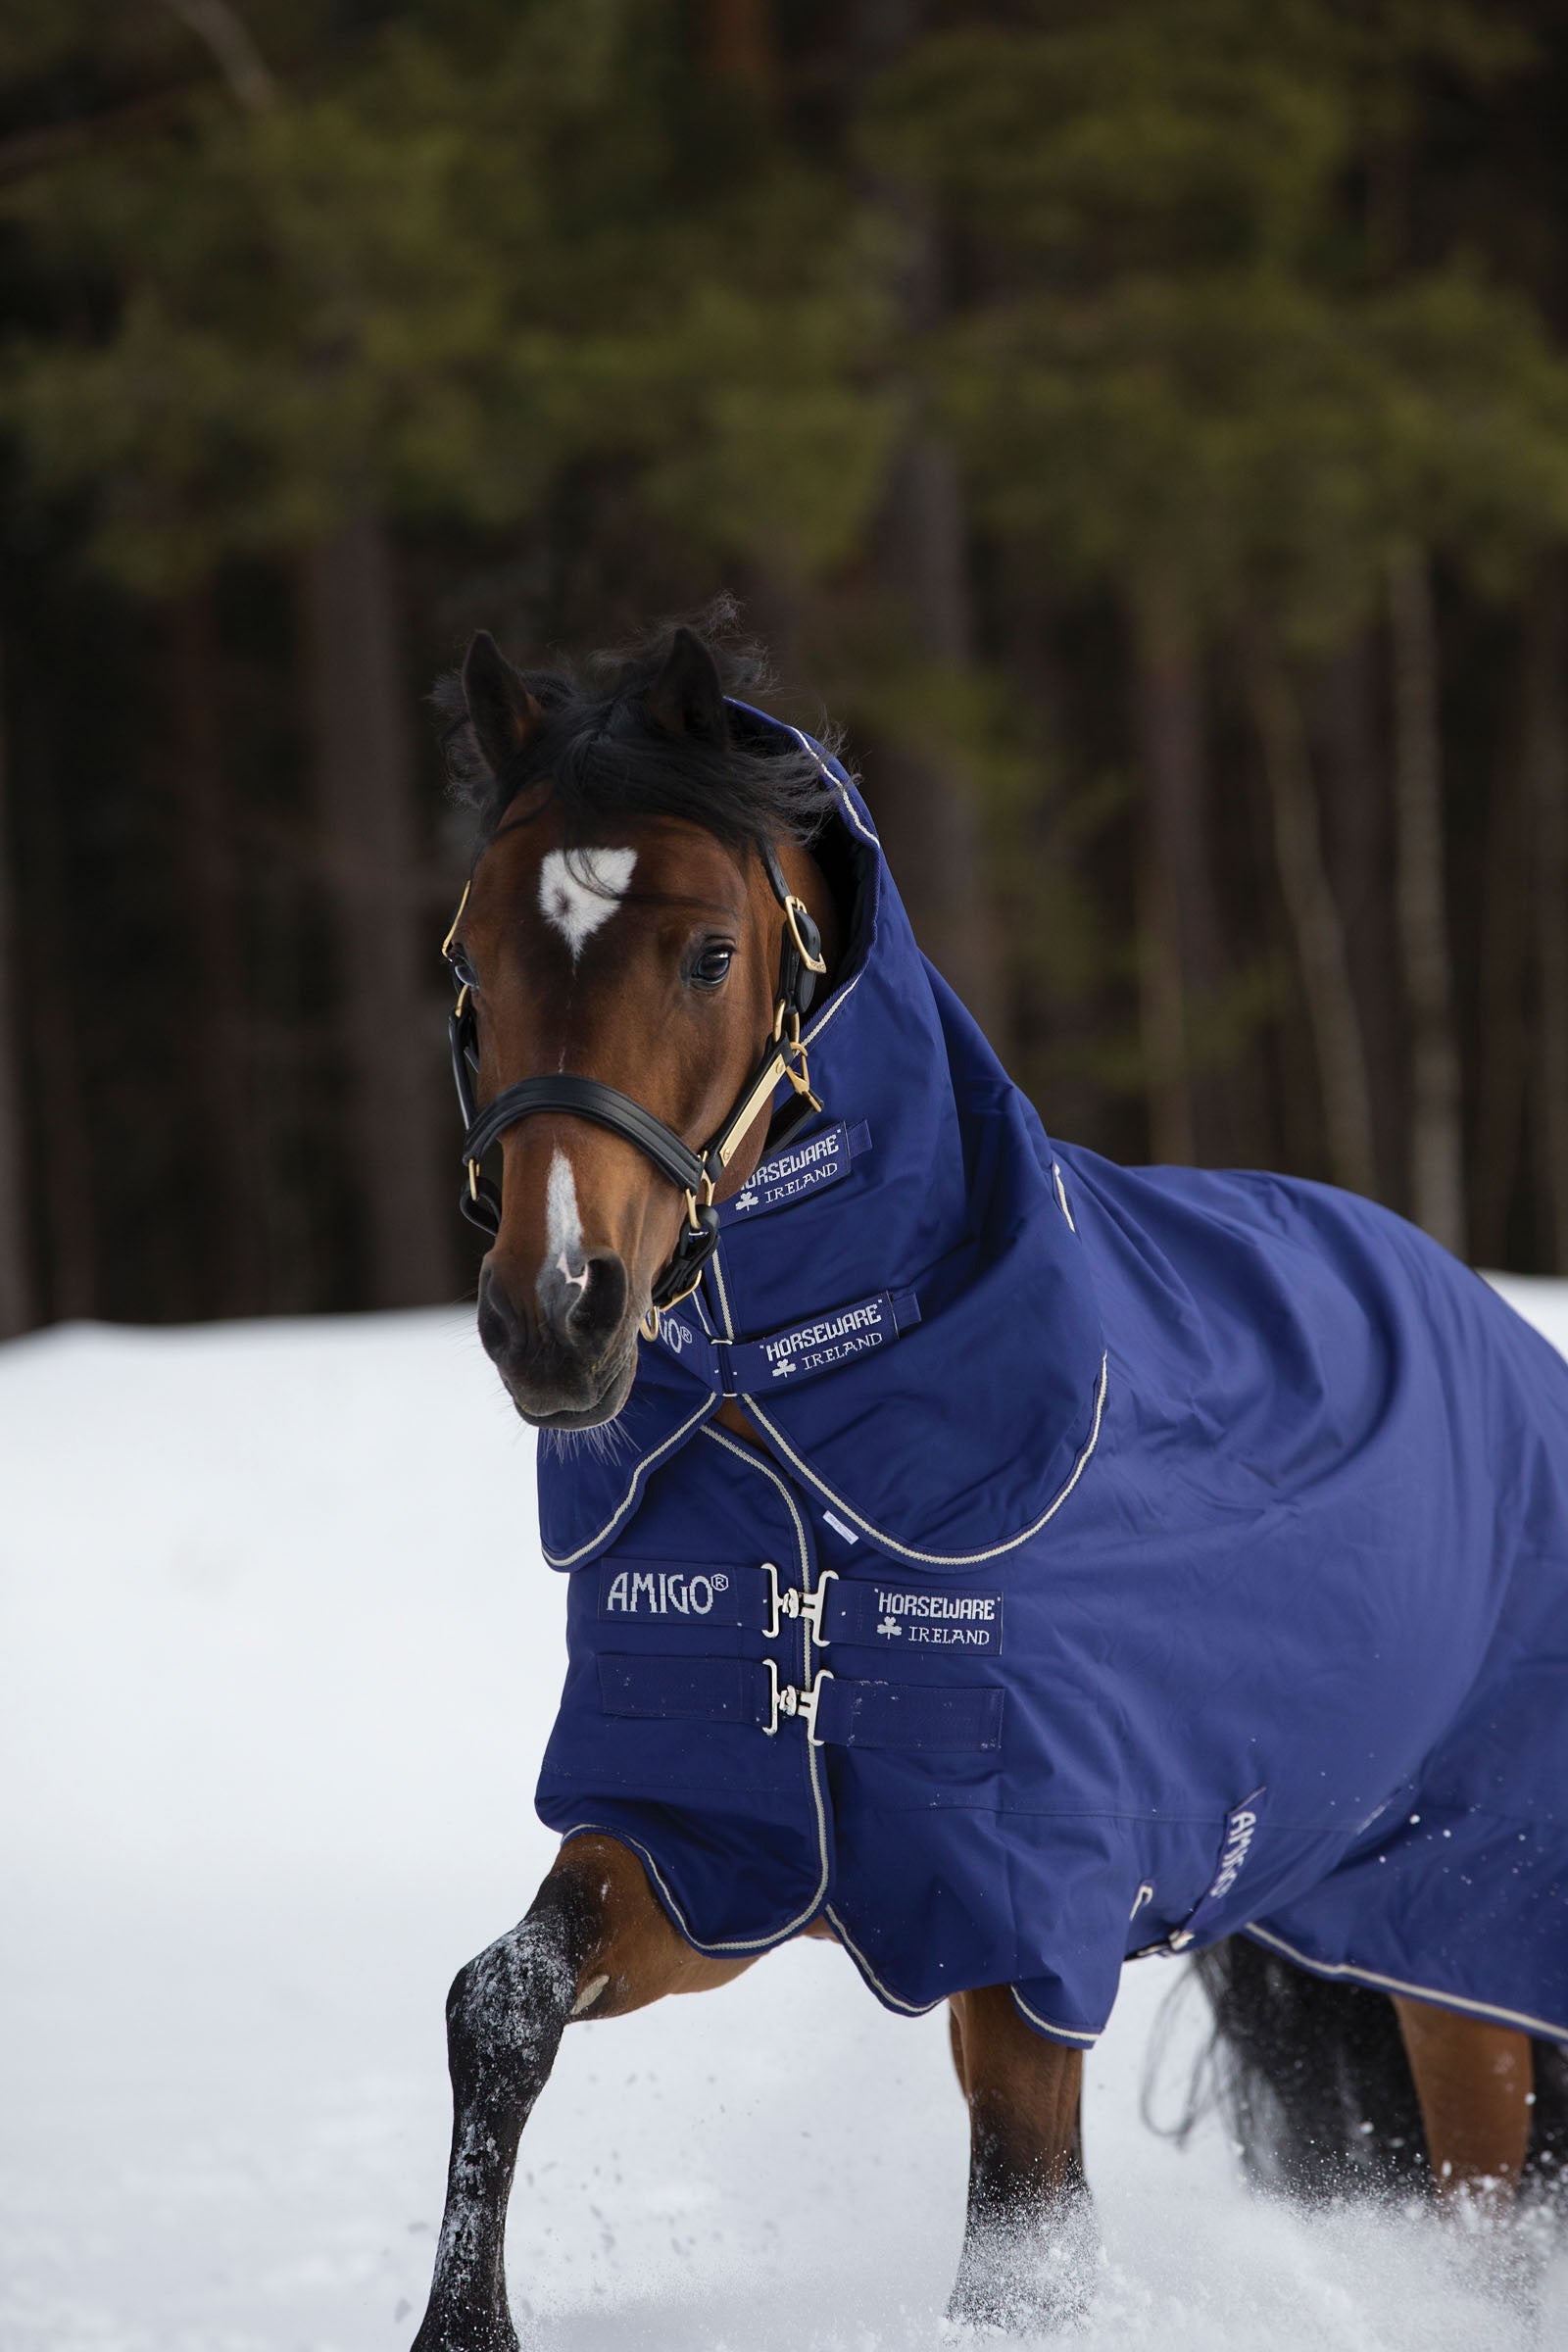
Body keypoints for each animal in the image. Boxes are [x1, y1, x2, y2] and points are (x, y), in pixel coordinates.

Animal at [410, 618, 1568, 2348]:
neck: (805, 1449)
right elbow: (501, 2001)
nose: (557, 1311)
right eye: (473, 966)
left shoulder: (1028, 1928)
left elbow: (1021, 2244)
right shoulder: (730, 1845)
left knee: (1484, 2207)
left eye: (707, 956)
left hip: (1454, 1941)